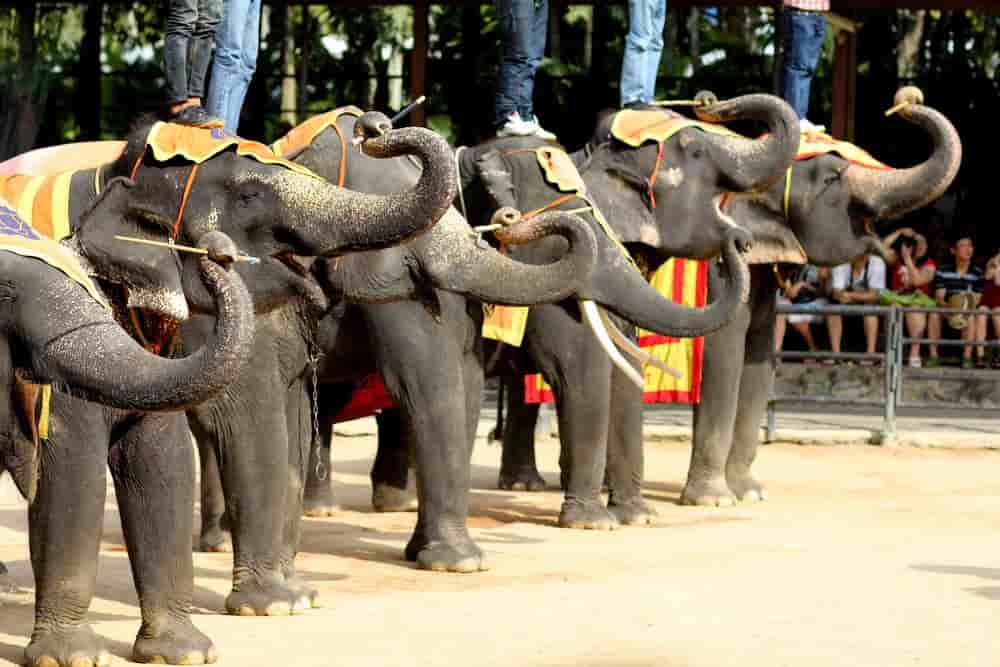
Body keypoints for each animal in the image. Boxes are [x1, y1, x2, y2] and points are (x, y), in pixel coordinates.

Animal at [5, 116, 458, 666]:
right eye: (248, 194)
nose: (375, 128)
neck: (111, 175)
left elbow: (163, 454)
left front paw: (188, 650)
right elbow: (72, 459)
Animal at [298, 92, 799, 532]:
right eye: (696, 151)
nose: (740, 240)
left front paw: (634, 519)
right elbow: (574, 365)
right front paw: (595, 523)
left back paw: (389, 503)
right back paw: (328, 509)